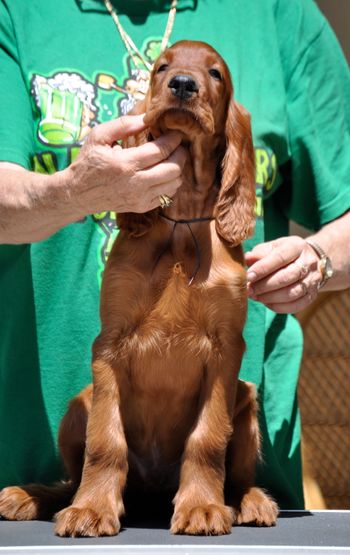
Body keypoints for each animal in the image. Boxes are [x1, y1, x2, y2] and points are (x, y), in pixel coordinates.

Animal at [0, 41, 278, 536]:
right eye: (162, 67)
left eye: (215, 74)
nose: (183, 85)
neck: (182, 218)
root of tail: (152, 490)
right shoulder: (110, 344)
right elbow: (105, 442)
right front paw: (92, 509)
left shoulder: (227, 349)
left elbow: (207, 438)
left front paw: (202, 507)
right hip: (79, 402)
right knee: (71, 477)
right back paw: (33, 496)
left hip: (246, 399)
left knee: (237, 474)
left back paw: (248, 501)